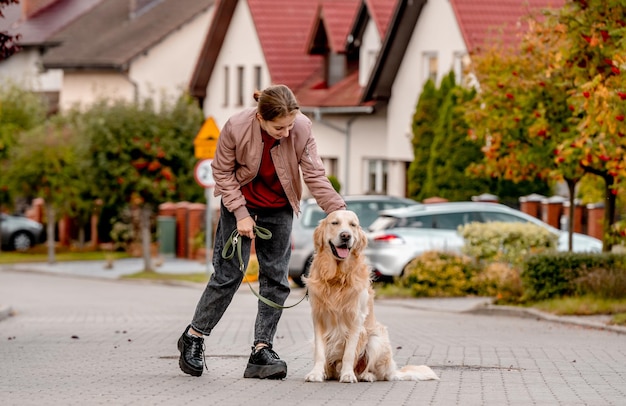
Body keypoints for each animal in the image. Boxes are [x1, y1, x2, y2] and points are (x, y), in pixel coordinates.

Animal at [302, 209, 438, 384]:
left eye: (353, 225)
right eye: (335, 223)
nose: (346, 236)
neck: (337, 277)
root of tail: (393, 371)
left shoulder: (355, 319)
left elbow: (349, 353)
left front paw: (347, 375)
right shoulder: (318, 316)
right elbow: (320, 352)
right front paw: (316, 373)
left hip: (376, 339)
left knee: (375, 372)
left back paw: (366, 375)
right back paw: (328, 373)